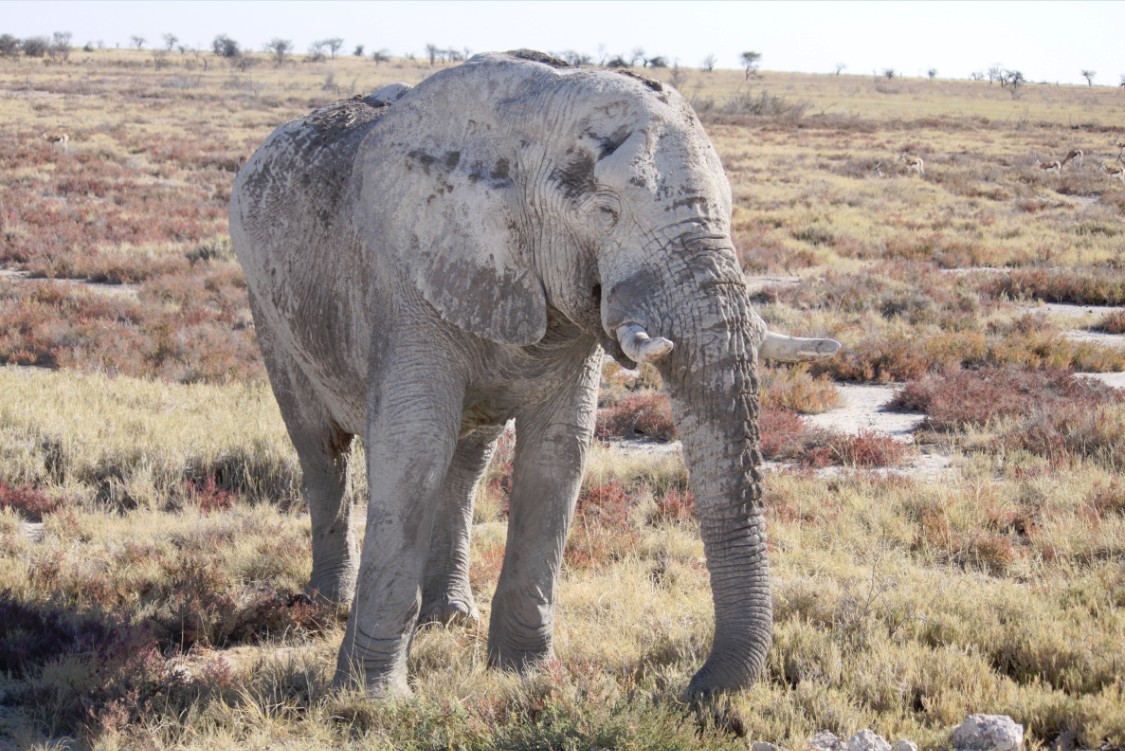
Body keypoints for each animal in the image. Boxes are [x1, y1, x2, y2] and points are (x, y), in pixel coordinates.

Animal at [228, 51, 837, 697]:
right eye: (605, 213)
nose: (692, 687)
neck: (534, 116)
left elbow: (559, 452)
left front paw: (524, 674)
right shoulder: (406, 280)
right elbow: (413, 445)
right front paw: (372, 701)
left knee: (466, 462)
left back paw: (450, 617)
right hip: (266, 303)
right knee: (321, 448)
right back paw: (324, 605)